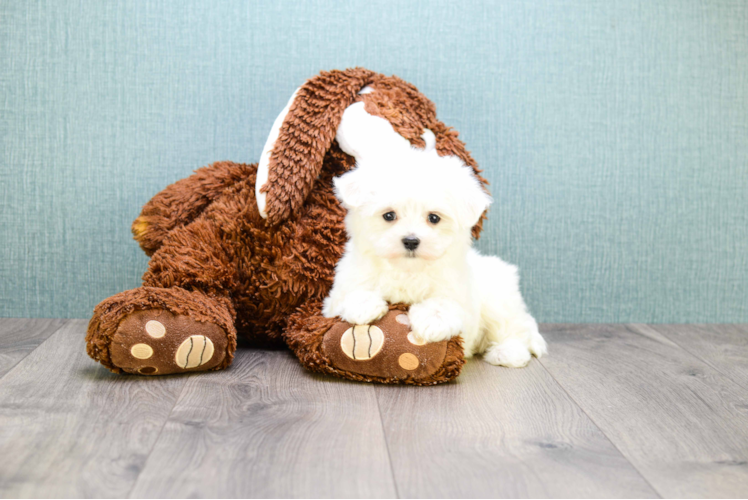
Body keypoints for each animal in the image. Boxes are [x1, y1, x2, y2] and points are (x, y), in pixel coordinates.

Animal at [322, 145, 548, 368]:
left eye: (434, 218)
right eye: (389, 215)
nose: (411, 241)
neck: (407, 270)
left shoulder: (461, 299)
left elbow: (444, 303)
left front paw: (433, 321)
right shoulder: (338, 292)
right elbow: (350, 293)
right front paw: (362, 305)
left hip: (498, 300)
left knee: (514, 328)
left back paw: (508, 353)